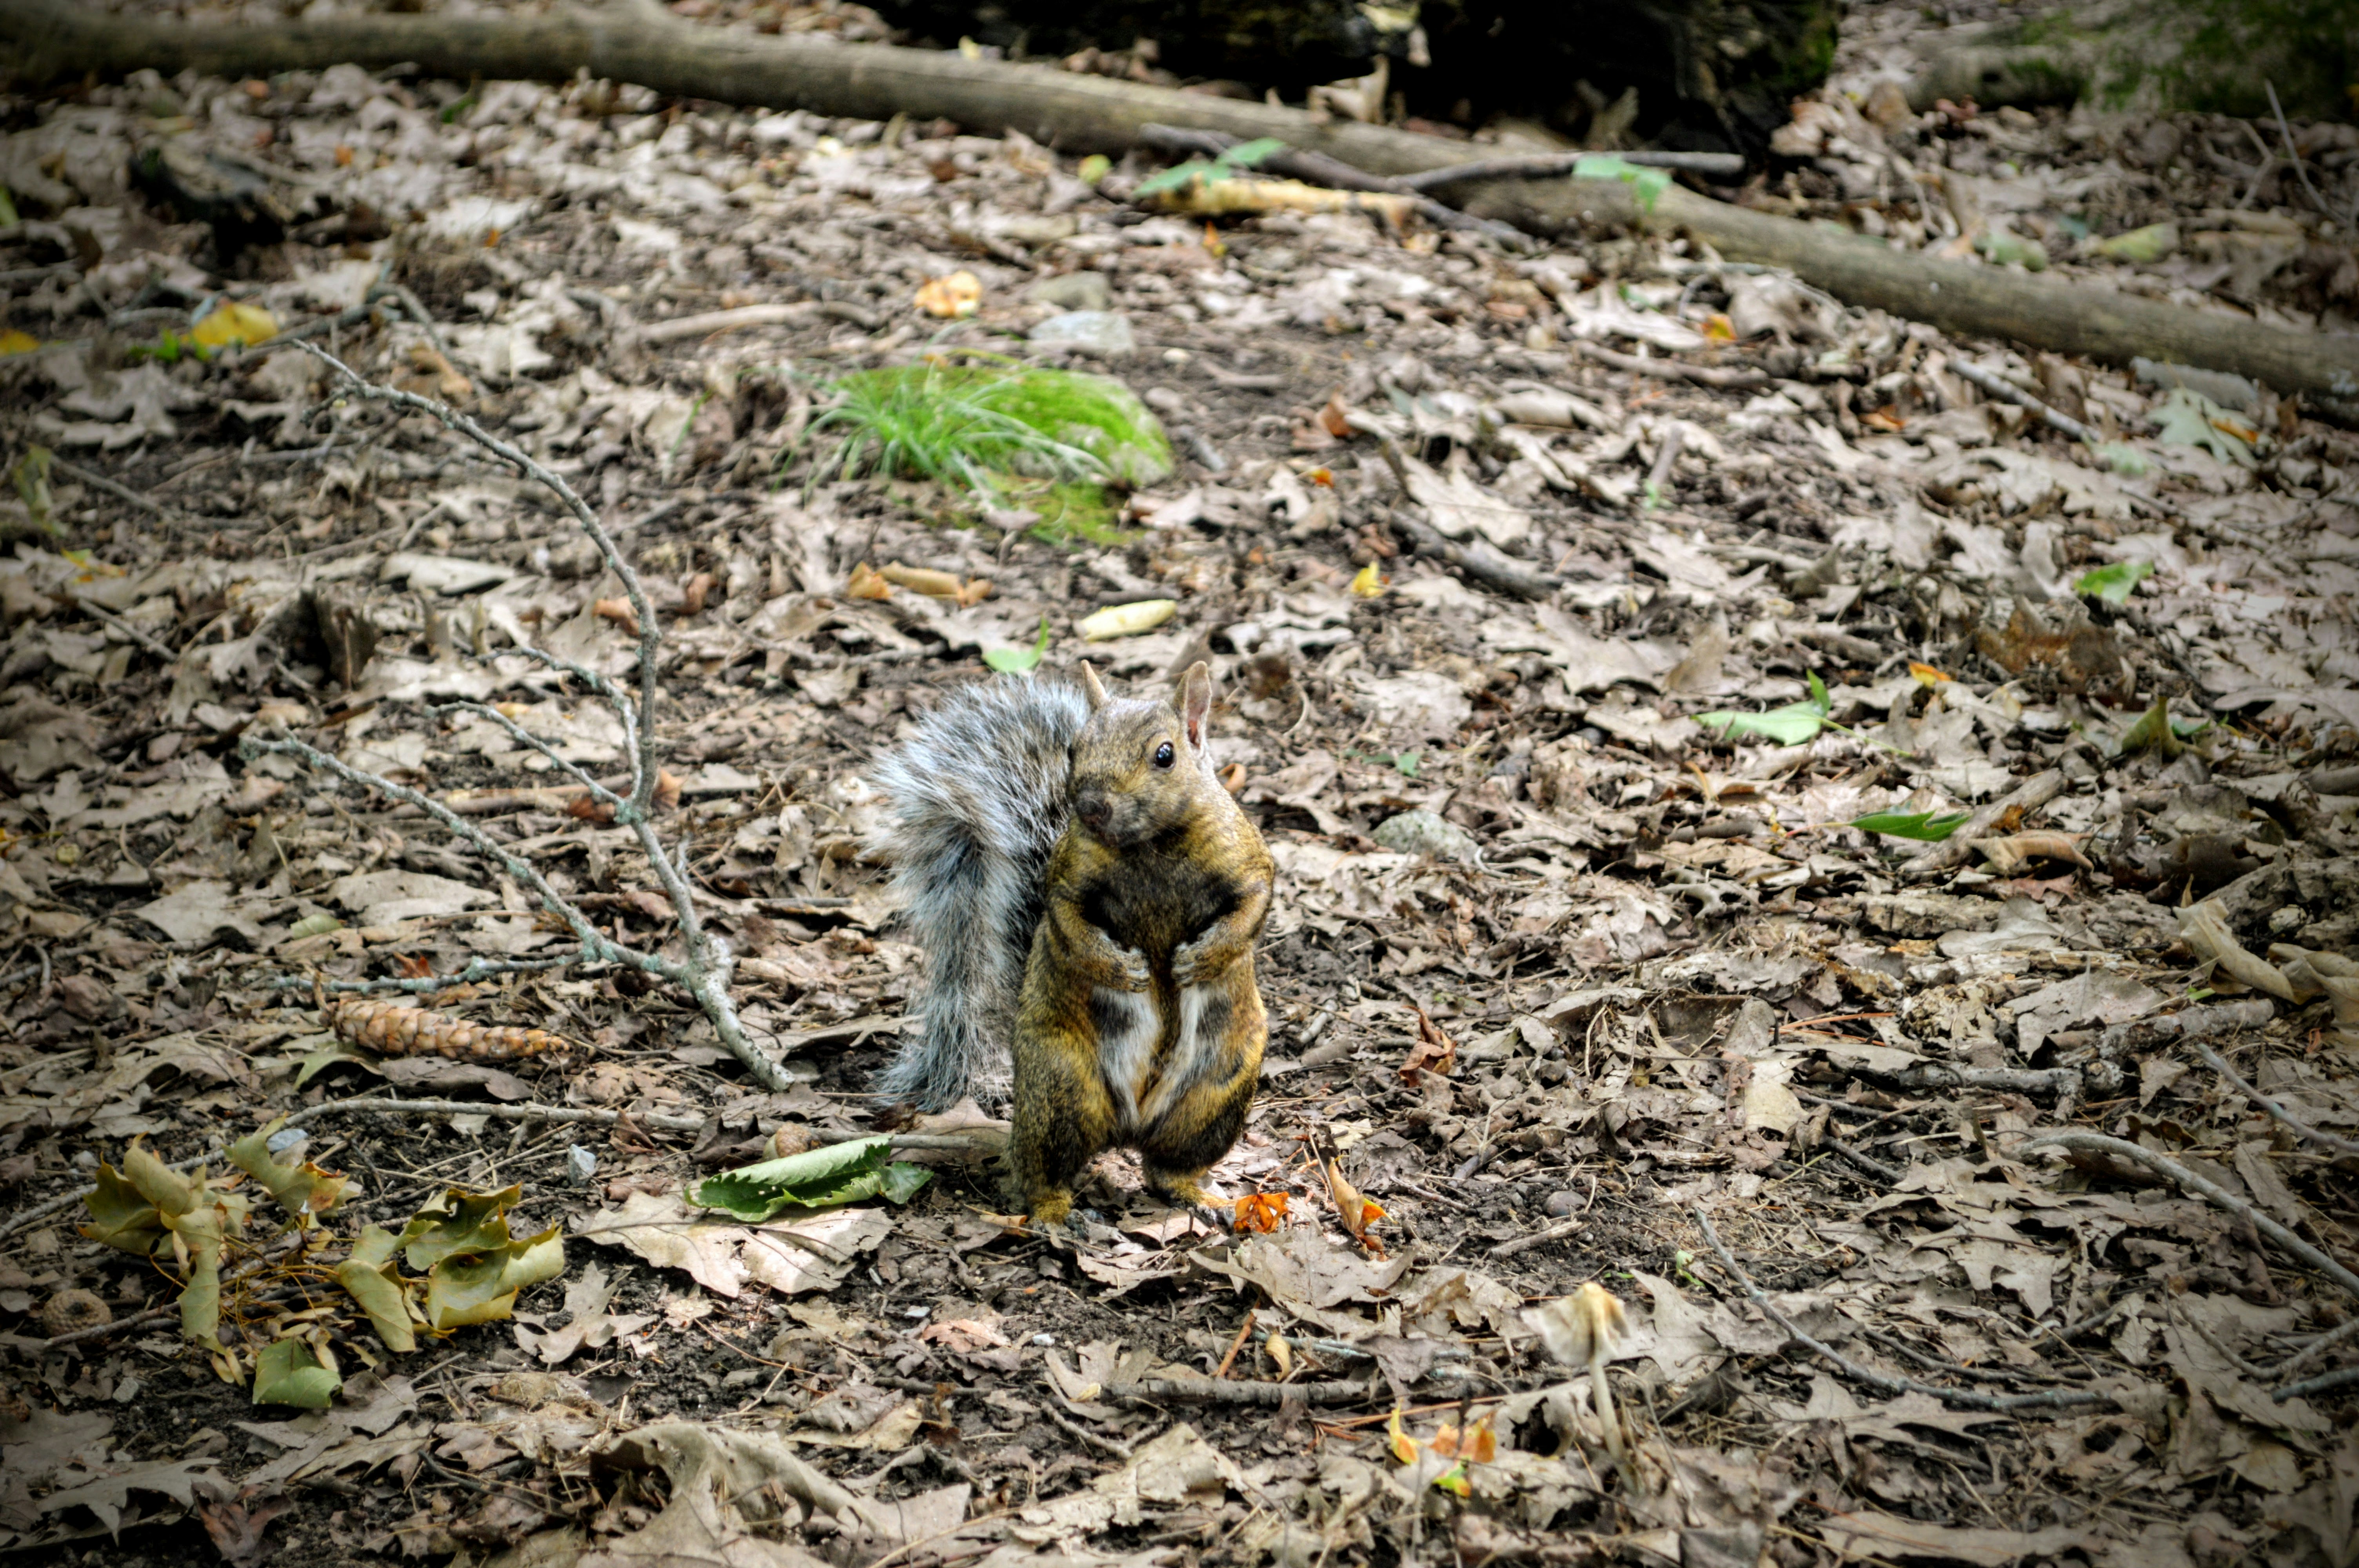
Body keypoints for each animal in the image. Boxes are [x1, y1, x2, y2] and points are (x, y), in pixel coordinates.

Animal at [871, 659, 1274, 1228]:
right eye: (1074, 749)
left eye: (1165, 755)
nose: (1091, 807)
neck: (1152, 846)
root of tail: (1131, 1125)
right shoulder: (1067, 876)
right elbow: (1068, 923)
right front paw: (1121, 970)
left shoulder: (1247, 859)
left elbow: (1252, 907)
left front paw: (1202, 959)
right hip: (1062, 1086)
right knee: (1042, 1169)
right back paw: (1058, 1214)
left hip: (1217, 1091)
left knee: (1166, 1167)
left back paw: (1201, 1198)